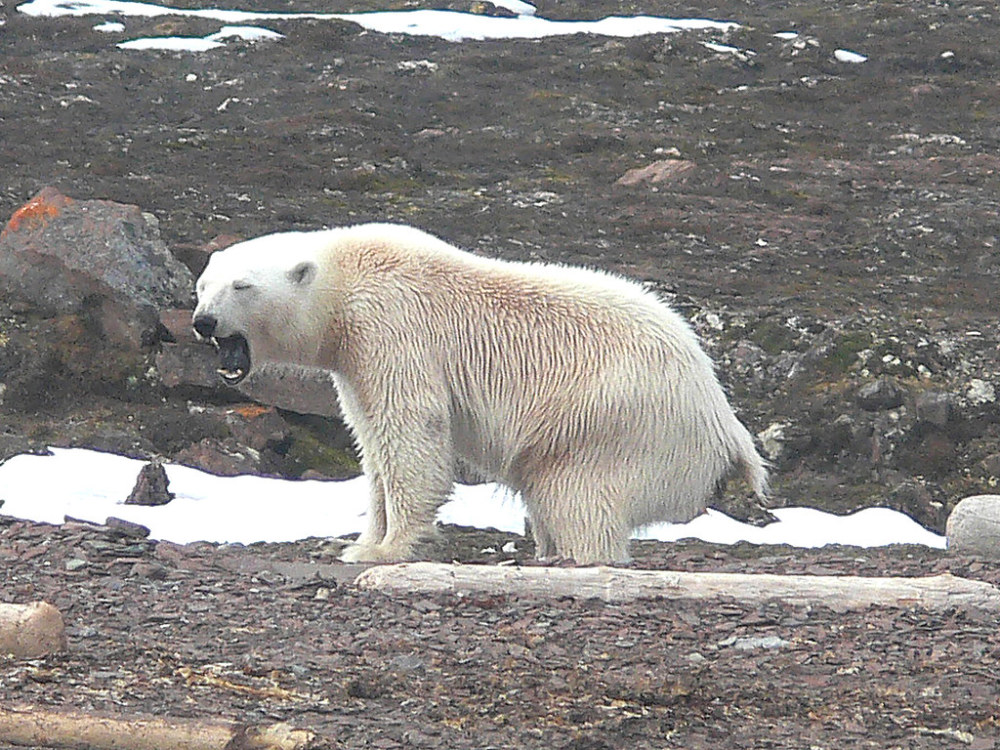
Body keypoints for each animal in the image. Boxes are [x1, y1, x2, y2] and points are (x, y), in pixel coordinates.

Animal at [191, 223, 764, 564]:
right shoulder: (354, 360)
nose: (202, 322)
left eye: (242, 286)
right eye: (203, 284)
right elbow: (372, 443)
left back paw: (573, 556)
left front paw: (388, 549)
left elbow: (411, 431)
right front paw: (361, 541)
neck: (346, 278)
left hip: (615, 420)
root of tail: (723, 420)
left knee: (577, 494)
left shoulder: (392, 327)